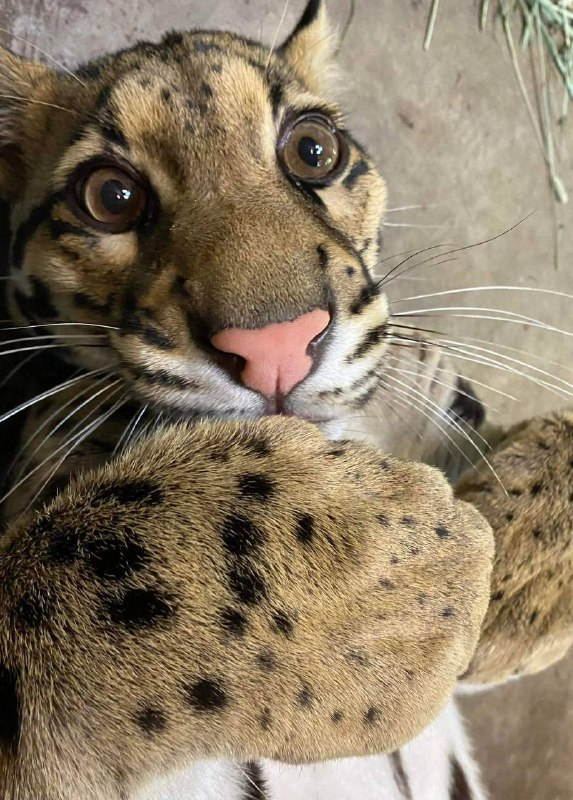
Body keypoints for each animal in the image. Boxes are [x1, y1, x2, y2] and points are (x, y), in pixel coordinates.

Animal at [0, 1, 572, 798]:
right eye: (110, 196)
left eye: (313, 150)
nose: (275, 346)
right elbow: (65, 559)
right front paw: (375, 569)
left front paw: (514, 575)